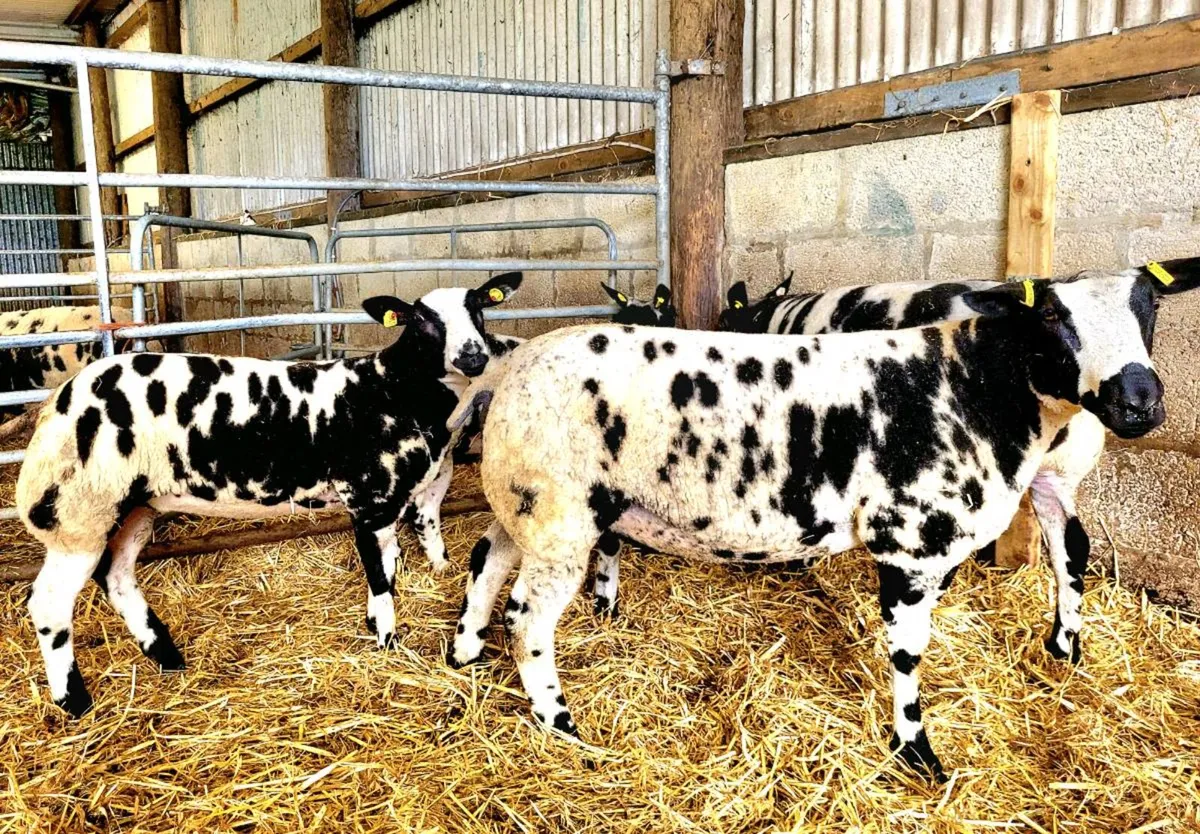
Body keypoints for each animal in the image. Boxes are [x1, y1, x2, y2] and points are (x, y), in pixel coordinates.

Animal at [18, 274, 523, 718]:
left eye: (479, 307)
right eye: (421, 320)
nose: (473, 356)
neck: (391, 390)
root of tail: (57, 406)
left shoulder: (389, 502)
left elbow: (395, 558)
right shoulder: (367, 498)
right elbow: (381, 580)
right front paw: (385, 640)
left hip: (133, 507)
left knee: (117, 577)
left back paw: (166, 655)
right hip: (80, 512)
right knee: (49, 604)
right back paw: (74, 701)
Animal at [447, 260, 1198, 779]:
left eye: (1151, 306)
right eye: (1053, 320)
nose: (1140, 400)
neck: (973, 386)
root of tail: (506, 371)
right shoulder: (910, 540)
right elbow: (907, 653)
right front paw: (915, 752)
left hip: (522, 501)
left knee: (487, 561)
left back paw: (465, 653)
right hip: (559, 513)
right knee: (529, 617)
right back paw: (559, 722)